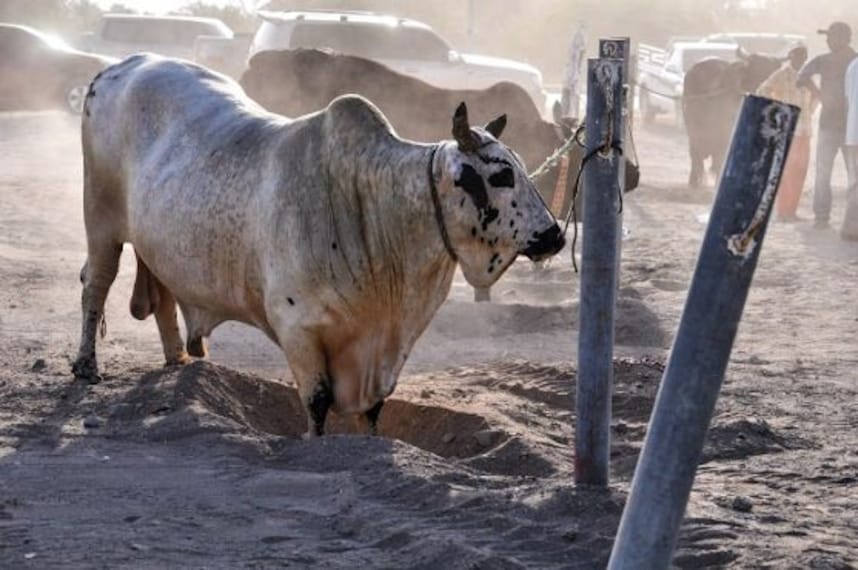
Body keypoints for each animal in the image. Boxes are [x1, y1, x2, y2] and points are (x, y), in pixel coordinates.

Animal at [71, 54, 566, 438]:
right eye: (501, 174)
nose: (555, 235)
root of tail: (119, 67)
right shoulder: (297, 329)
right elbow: (317, 402)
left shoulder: (382, 352)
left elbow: (373, 411)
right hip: (100, 221)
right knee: (95, 285)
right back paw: (86, 366)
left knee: (164, 295)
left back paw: (177, 357)